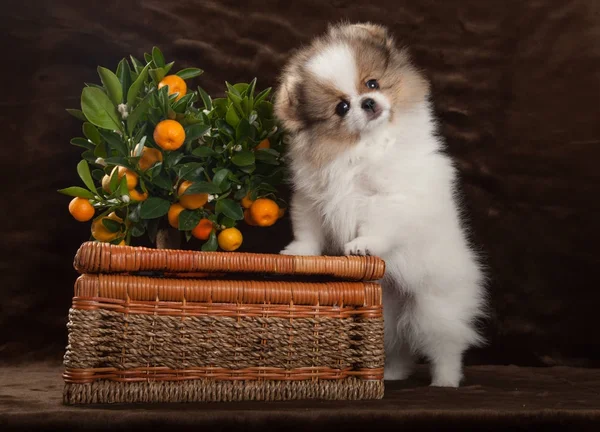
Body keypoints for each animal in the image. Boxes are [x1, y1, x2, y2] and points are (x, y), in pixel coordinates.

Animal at [274, 22, 486, 388]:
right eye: (342, 107)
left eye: (371, 83)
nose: (369, 102)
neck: (362, 149)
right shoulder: (311, 197)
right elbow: (307, 229)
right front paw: (299, 251)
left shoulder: (388, 199)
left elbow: (378, 226)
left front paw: (363, 245)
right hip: (386, 316)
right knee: (399, 344)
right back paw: (393, 375)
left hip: (436, 304)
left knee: (445, 344)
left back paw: (445, 381)